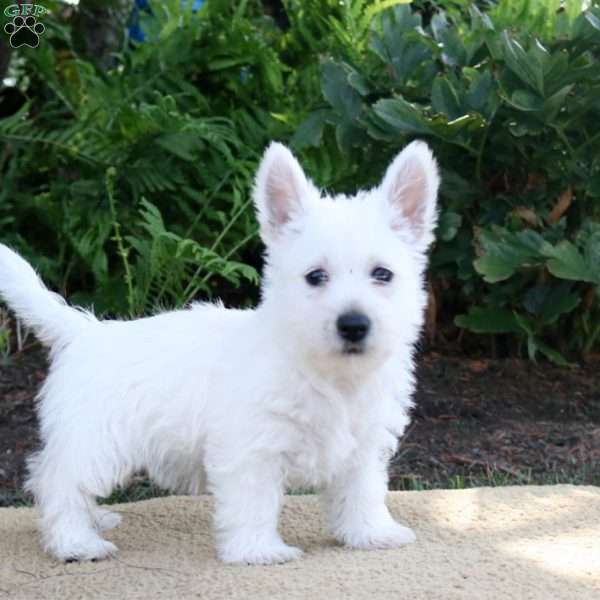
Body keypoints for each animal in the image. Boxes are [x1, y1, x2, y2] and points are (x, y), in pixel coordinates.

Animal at [0, 139, 440, 564]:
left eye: (382, 274)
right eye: (316, 276)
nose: (353, 324)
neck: (328, 375)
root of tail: (85, 331)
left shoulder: (362, 446)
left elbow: (362, 492)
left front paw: (372, 533)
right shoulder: (252, 448)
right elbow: (254, 503)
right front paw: (257, 551)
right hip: (95, 438)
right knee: (58, 481)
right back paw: (75, 543)